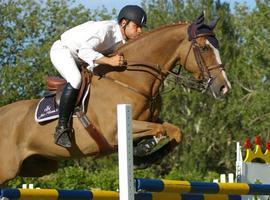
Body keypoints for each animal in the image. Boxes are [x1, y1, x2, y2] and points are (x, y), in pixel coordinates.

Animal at [0, 12, 230, 184]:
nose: (224, 88)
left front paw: (145, 155)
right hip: (7, 169)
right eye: (204, 47)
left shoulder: (151, 119)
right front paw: (144, 148)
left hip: (38, 166)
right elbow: (159, 130)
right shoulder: (113, 132)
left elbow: (175, 131)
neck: (131, 80)